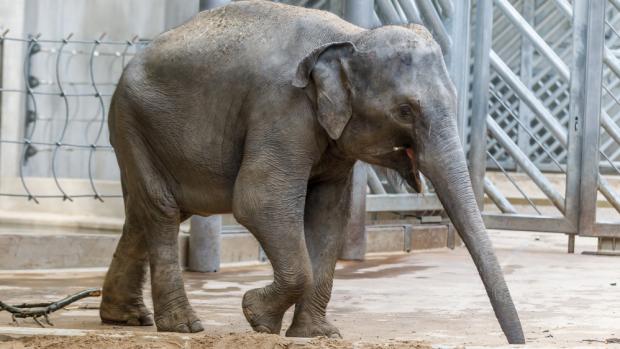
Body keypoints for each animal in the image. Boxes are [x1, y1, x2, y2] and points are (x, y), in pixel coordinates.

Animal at [99, 0, 524, 342]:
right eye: (405, 111)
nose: (517, 341)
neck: (350, 38)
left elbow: (329, 214)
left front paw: (317, 334)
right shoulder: (281, 108)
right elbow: (259, 200)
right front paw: (257, 316)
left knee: (145, 212)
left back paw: (125, 317)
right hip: (133, 122)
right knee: (162, 210)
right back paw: (183, 326)